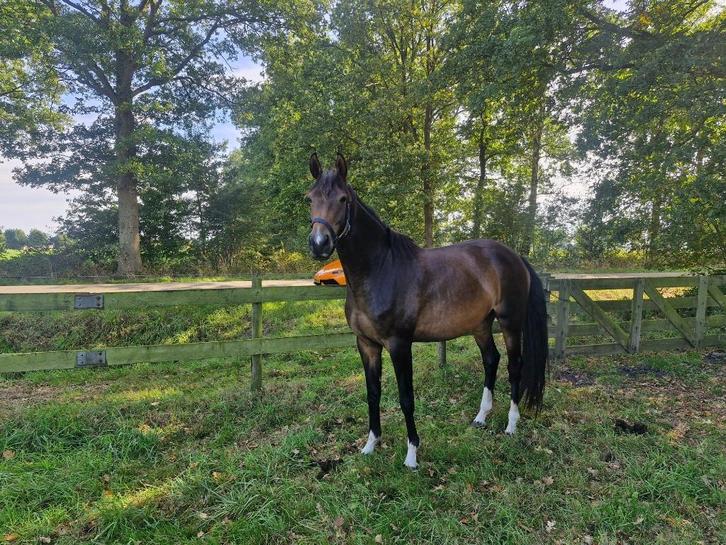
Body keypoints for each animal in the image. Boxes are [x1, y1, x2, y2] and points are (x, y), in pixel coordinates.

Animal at [306, 153, 548, 469]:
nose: (319, 243)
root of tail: (514, 256)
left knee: (514, 366)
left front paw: (411, 455)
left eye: (343, 199)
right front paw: (371, 445)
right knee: (491, 360)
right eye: (309, 198)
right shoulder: (366, 344)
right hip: (481, 324)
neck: (380, 269)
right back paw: (481, 417)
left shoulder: (399, 344)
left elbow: (406, 397)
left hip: (510, 322)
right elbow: (372, 393)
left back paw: (511, 425)